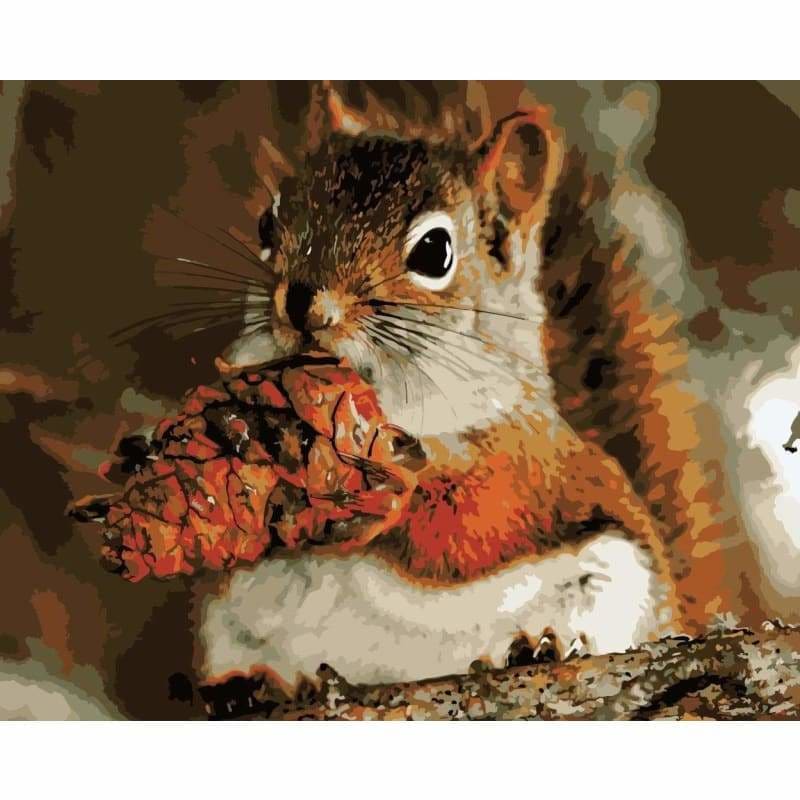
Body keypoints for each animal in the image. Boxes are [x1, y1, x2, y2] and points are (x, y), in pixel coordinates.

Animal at [196, 85, 765, 698]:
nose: (303, 305)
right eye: (266, 224)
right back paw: (253, 687)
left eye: (434, 251)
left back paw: (539, 649)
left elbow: (461, 528)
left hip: (616, 583)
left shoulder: (521, 465)